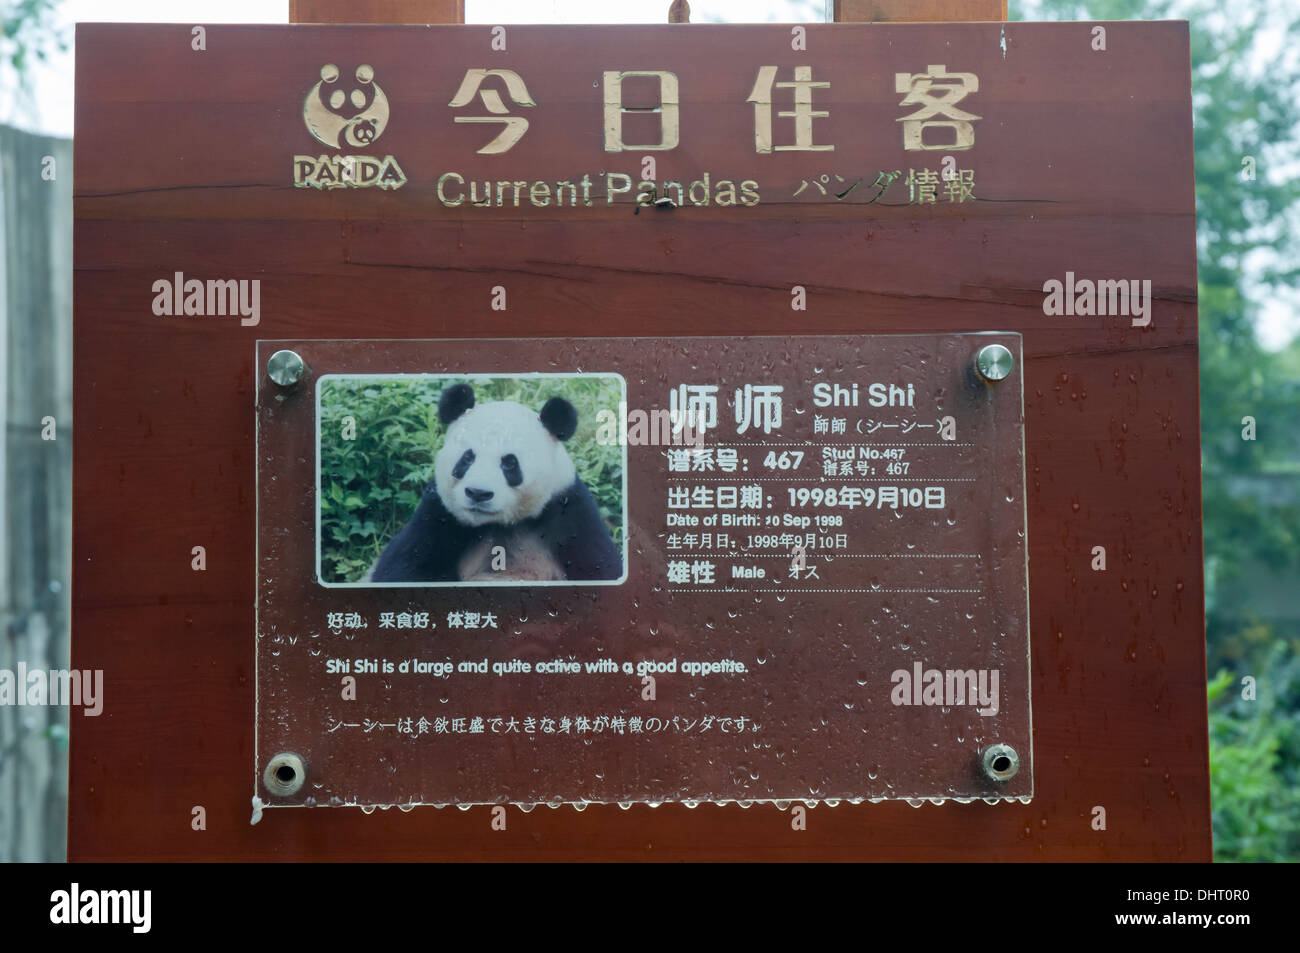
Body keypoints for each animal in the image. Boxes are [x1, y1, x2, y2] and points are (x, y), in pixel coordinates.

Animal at [371, 382, 624, 582]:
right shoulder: (437, 516)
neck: (500, 525)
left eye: (509, 463)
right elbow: (403, 567)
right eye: (467, 457)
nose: (478, 493)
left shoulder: (569, 513)